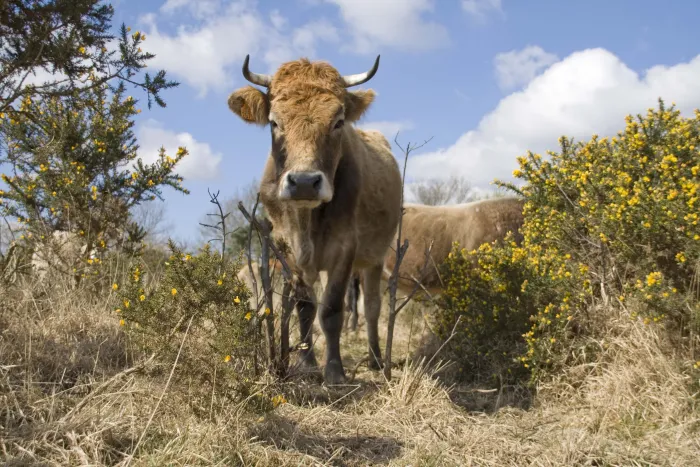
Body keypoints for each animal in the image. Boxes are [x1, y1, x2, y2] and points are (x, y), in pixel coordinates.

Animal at [226, 55, 403, 383]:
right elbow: (305, 308)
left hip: (375, 257)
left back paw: (375, 358)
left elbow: (331, 310)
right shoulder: (286, 249)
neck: (305, 221)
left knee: (372, 307)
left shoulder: (345, 248)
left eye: (338, 122)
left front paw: (334, 370)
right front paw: (307, 363)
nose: (305, 182)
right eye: (274, 122)